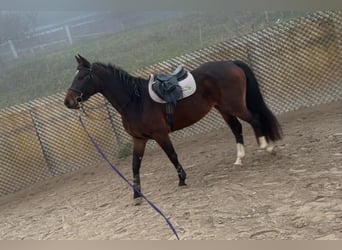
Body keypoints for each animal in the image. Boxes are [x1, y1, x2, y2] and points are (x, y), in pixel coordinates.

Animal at [65, 53, 284, 204]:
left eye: (82, 77)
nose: (68, 102)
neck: (135, 101)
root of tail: (231, 63)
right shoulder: (139, 140)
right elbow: (135, 165)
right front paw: (137, 194)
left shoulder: (160, 135)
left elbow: (172, 156)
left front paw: (182, 179)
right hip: (223, 108)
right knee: (237, 128)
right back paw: (239, 159)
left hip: (234, 105)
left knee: (255, 119)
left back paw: (267, 147)